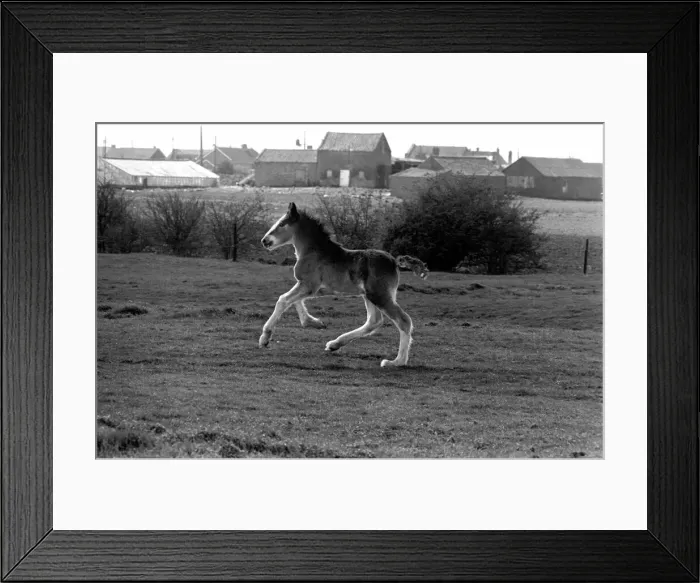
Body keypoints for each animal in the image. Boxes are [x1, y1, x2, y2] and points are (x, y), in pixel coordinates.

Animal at [259, 202, 428, 367]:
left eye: (281, 224)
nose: (264, 241)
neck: (314, 252)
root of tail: (394, 261)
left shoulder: (309, 285)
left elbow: (283, 300)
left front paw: (265, 338)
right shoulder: (312, 288)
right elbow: (295, 301)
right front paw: (313, 322)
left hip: (379, 295)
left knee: (403, 321)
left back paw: (396, 362)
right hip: (370, 296)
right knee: (374, 321)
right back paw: (334, 344)